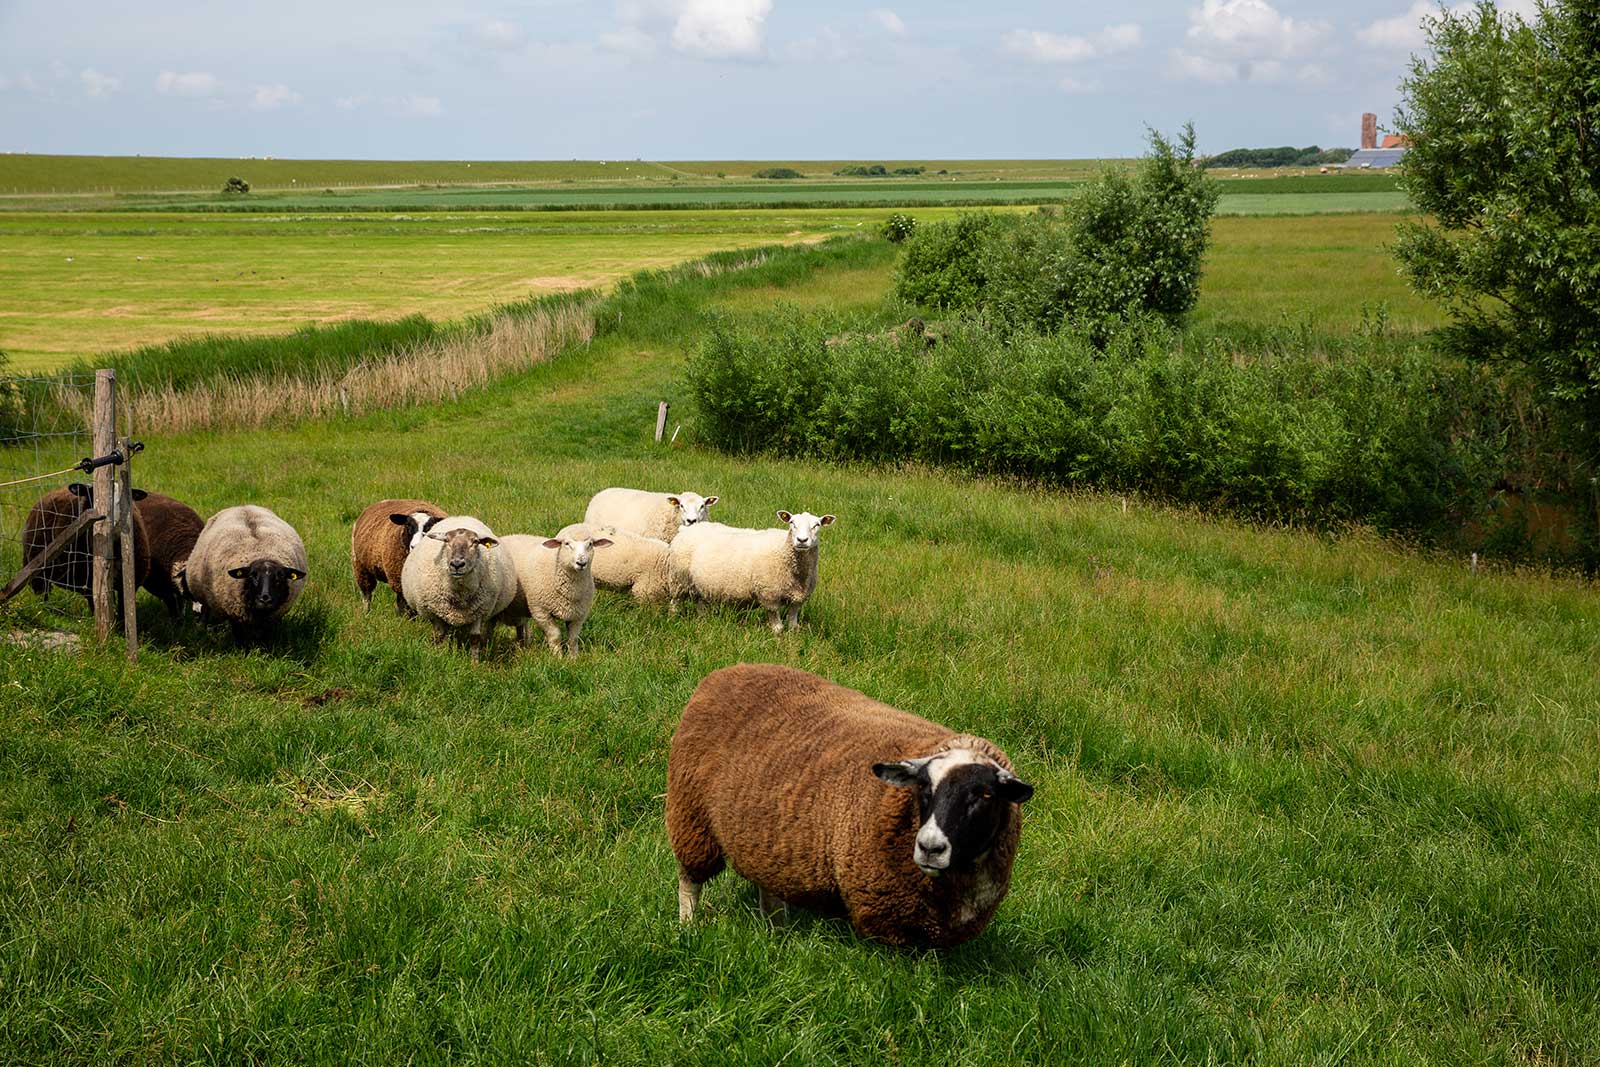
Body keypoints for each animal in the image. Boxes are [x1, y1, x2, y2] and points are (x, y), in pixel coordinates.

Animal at [184, 505, 308, 637]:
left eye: (280, 577)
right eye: (252, 576)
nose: (265, 599)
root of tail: (243, 506)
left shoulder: (273, 618)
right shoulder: (235, 614)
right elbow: (239, 635)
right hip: (203, 592)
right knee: (205, 610)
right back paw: (201, 628)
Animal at [399, 515, 515, 661]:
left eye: (475, 542)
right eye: (446, 541)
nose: (457, 564)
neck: (460, 593)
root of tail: (460, 517)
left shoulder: (479, 611)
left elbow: (475, 639)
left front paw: (474, 663)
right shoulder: (436, 612)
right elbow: (439, 636)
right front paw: (439, 655)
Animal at [495, 523, 613, 656]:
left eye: (590, 544)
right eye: (566, 543)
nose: (581, 562)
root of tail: (508, 536)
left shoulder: (579, 615)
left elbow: (573, 639)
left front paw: (573, 658)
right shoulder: (541, 611)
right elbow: (555, 636)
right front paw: (558, 657)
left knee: (521, 626)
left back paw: (523, 645)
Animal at [667, 510, 835, 633]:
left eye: (817, 525)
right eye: (791, 523)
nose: (801, 540)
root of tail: (685, 529)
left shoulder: (798, 599)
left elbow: (793, 624)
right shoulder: (769, 596)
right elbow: (778, 627)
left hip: (699, 584)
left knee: (700, 603)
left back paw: (703, 621)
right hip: (678, 579)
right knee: (675, 603)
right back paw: (673, 619)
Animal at [667, 663, 1034, 948]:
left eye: (985, 796)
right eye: (923, 788)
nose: (930, 847)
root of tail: (726, 671)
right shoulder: (883, 917)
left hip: (763, 842)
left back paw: (777, 933)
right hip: (691, 818)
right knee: (690, 880)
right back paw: (688, 927)